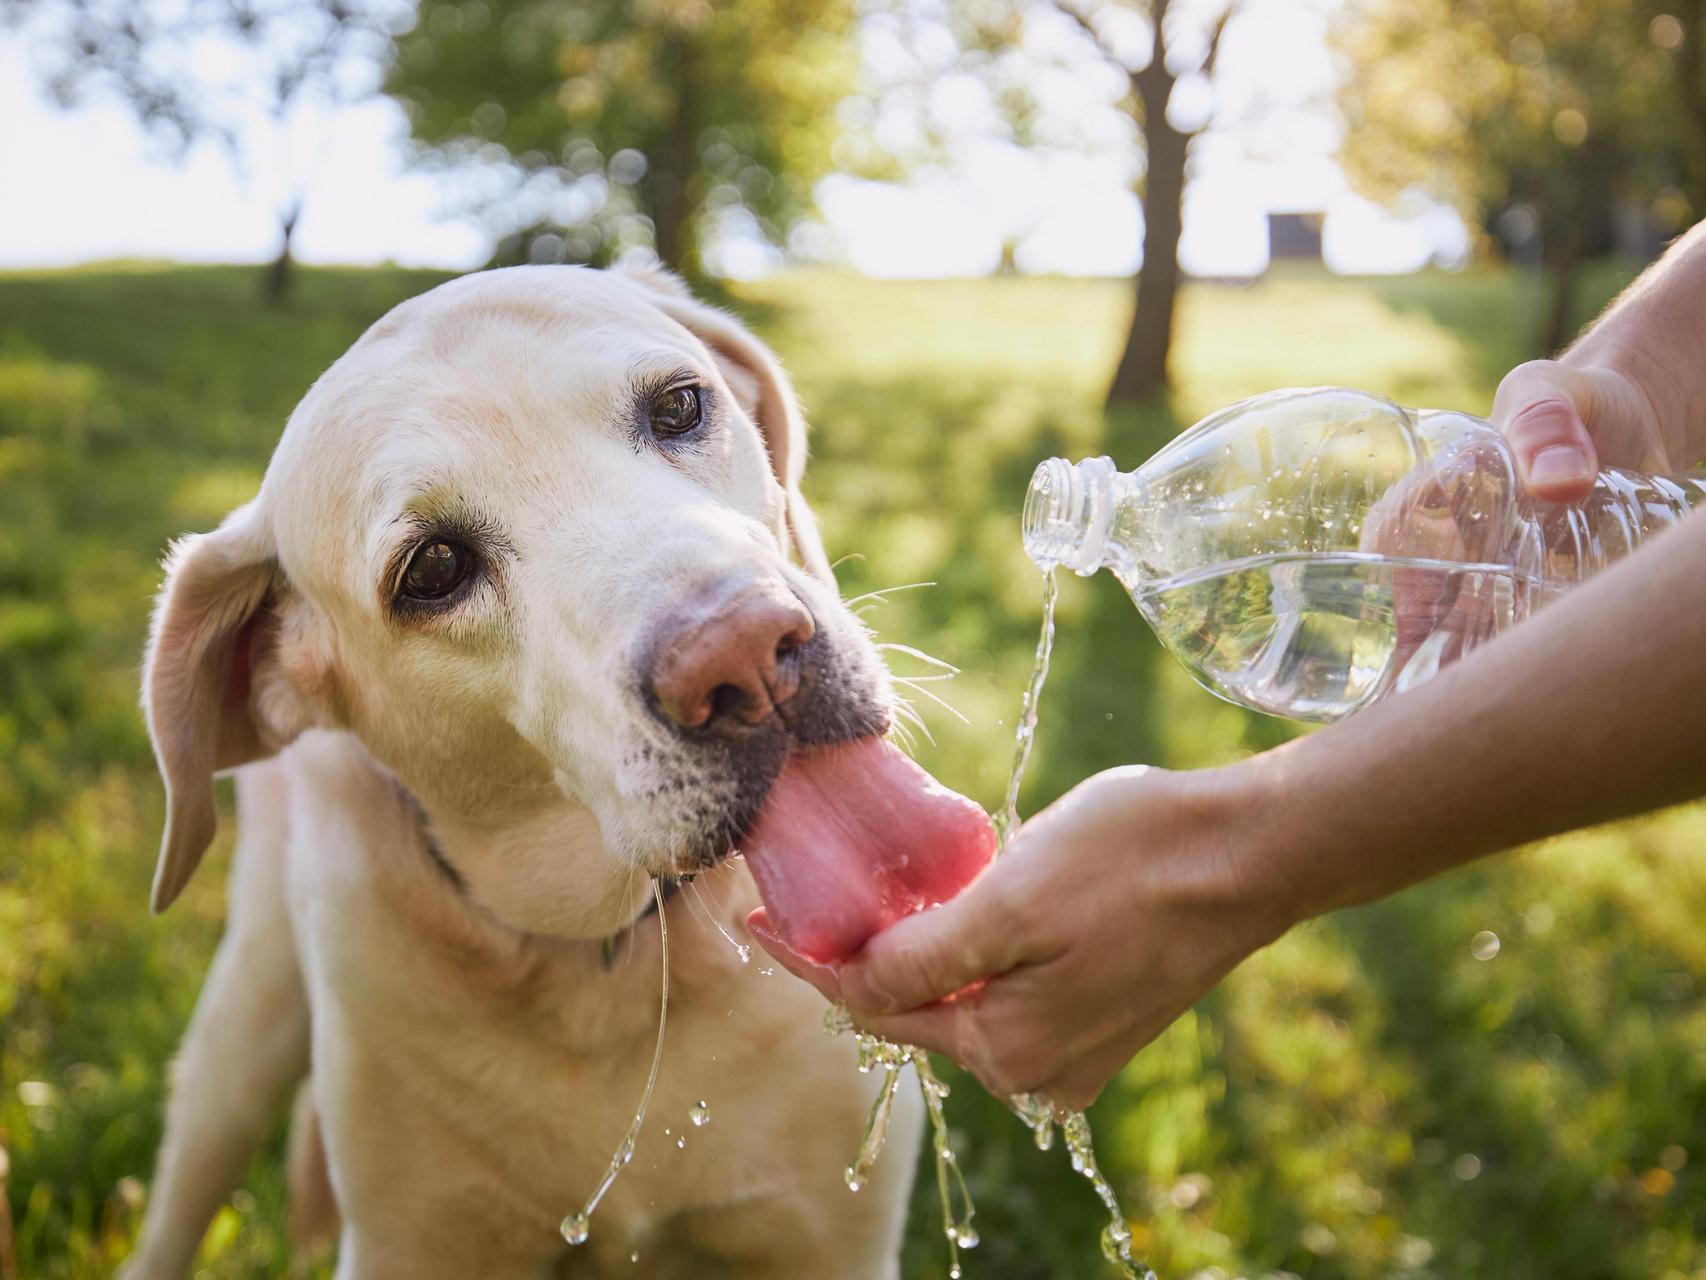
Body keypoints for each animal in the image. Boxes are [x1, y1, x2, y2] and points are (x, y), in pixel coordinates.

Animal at [123, 266, 921, 1276]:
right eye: (433, 567)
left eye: (679, 406)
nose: (742, 655)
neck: (611, 964)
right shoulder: (407, 1245)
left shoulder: (833, 1239)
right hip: (245, 1019)